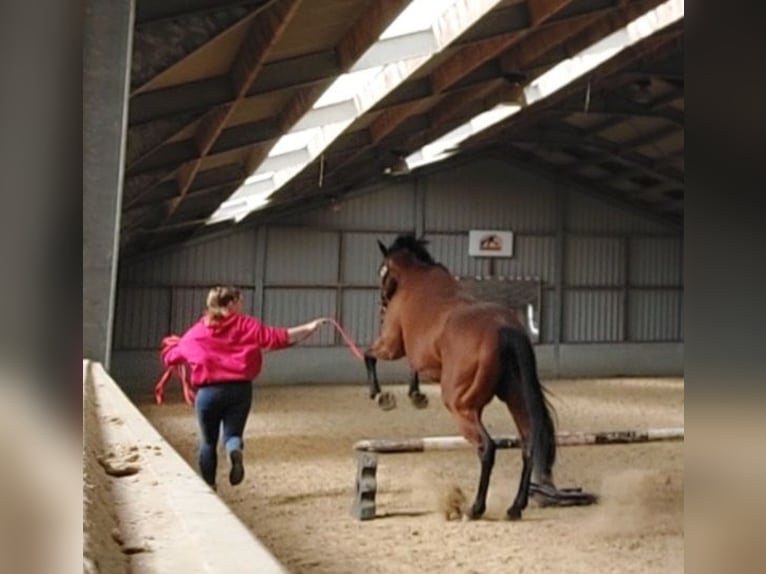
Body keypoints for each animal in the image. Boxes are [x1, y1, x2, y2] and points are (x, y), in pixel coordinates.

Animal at [364, 234, 596, 520]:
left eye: (381, 271)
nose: (382, 303)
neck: (414, 277)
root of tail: (505, 328)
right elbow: (411, 368)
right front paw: (415, 395)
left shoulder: (391, 344)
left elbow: (370, 355)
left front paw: (381, 395)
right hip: (515, 399)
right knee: (528, 443)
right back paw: (515, 507)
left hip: (461, 407)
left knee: (487, 448)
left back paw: (475, 508)